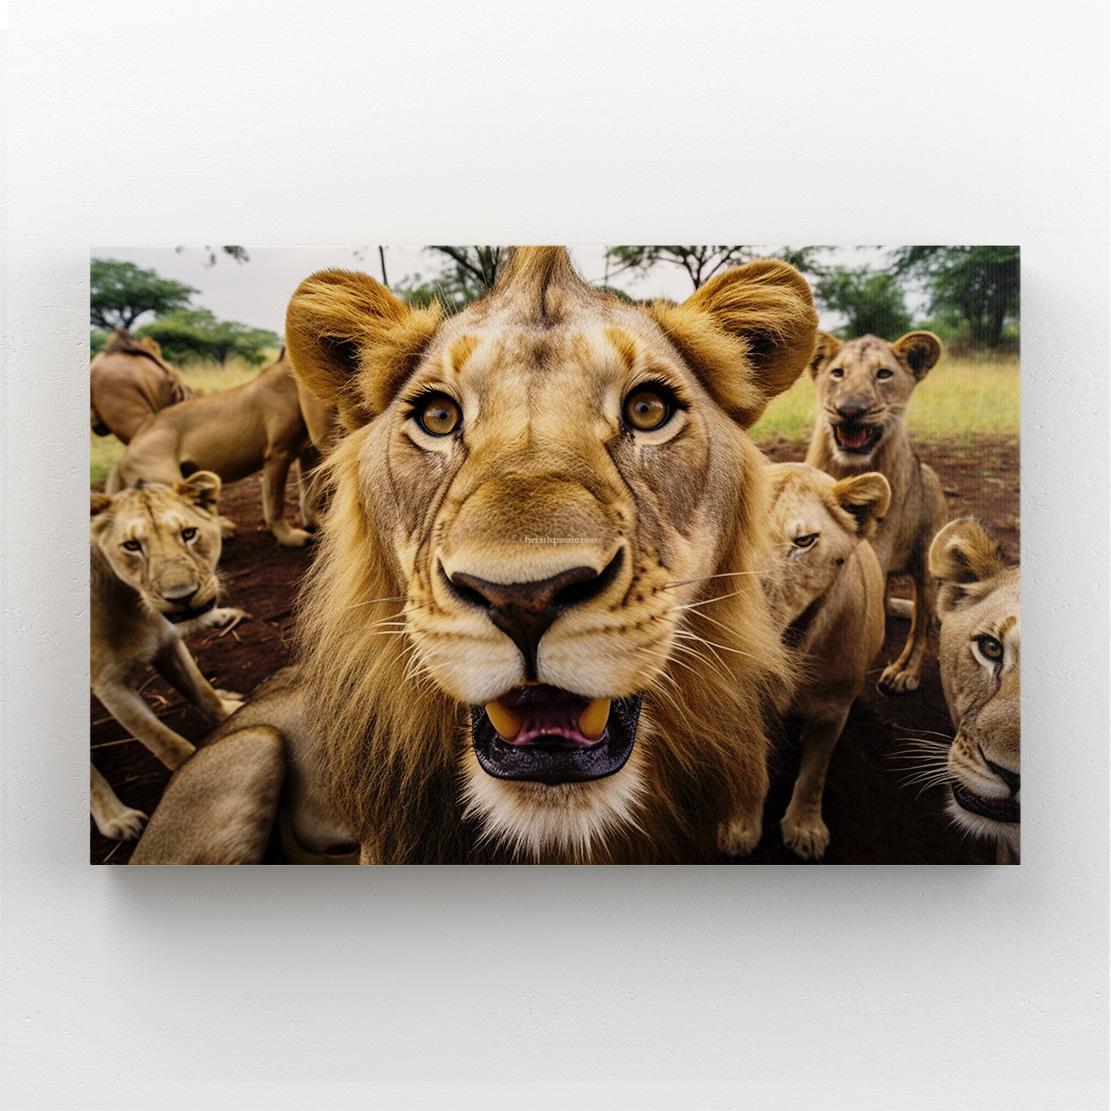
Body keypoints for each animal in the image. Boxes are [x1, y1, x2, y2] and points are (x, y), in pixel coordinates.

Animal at [90, 473, 244, 841]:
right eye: (132, 546)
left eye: (188, 534)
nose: (182, 596)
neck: (136, 607)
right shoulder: (108, 684)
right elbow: (165, 741)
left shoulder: (167, 642)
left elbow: (202, 689)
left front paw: (228, 709)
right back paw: (117, 818)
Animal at [108, 349, 319, 547]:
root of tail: (125, 455)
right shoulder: (278, 454)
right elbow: (275, 503)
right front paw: (289, 537)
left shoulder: (308, 452)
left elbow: (310, 494)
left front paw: (316, 524)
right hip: (167, 482)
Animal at [749, 463, 890, 860]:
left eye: (805, 541)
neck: (792, 645)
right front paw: (740, 829)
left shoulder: (832, 709)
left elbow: (815, 773)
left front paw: (805, 829)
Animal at [806, 330, 947, 694]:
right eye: (838, 373)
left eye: (883, 374)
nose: (850, 410)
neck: (847, 469)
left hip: (927, 572)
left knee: (922, 625)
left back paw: (904, 673)